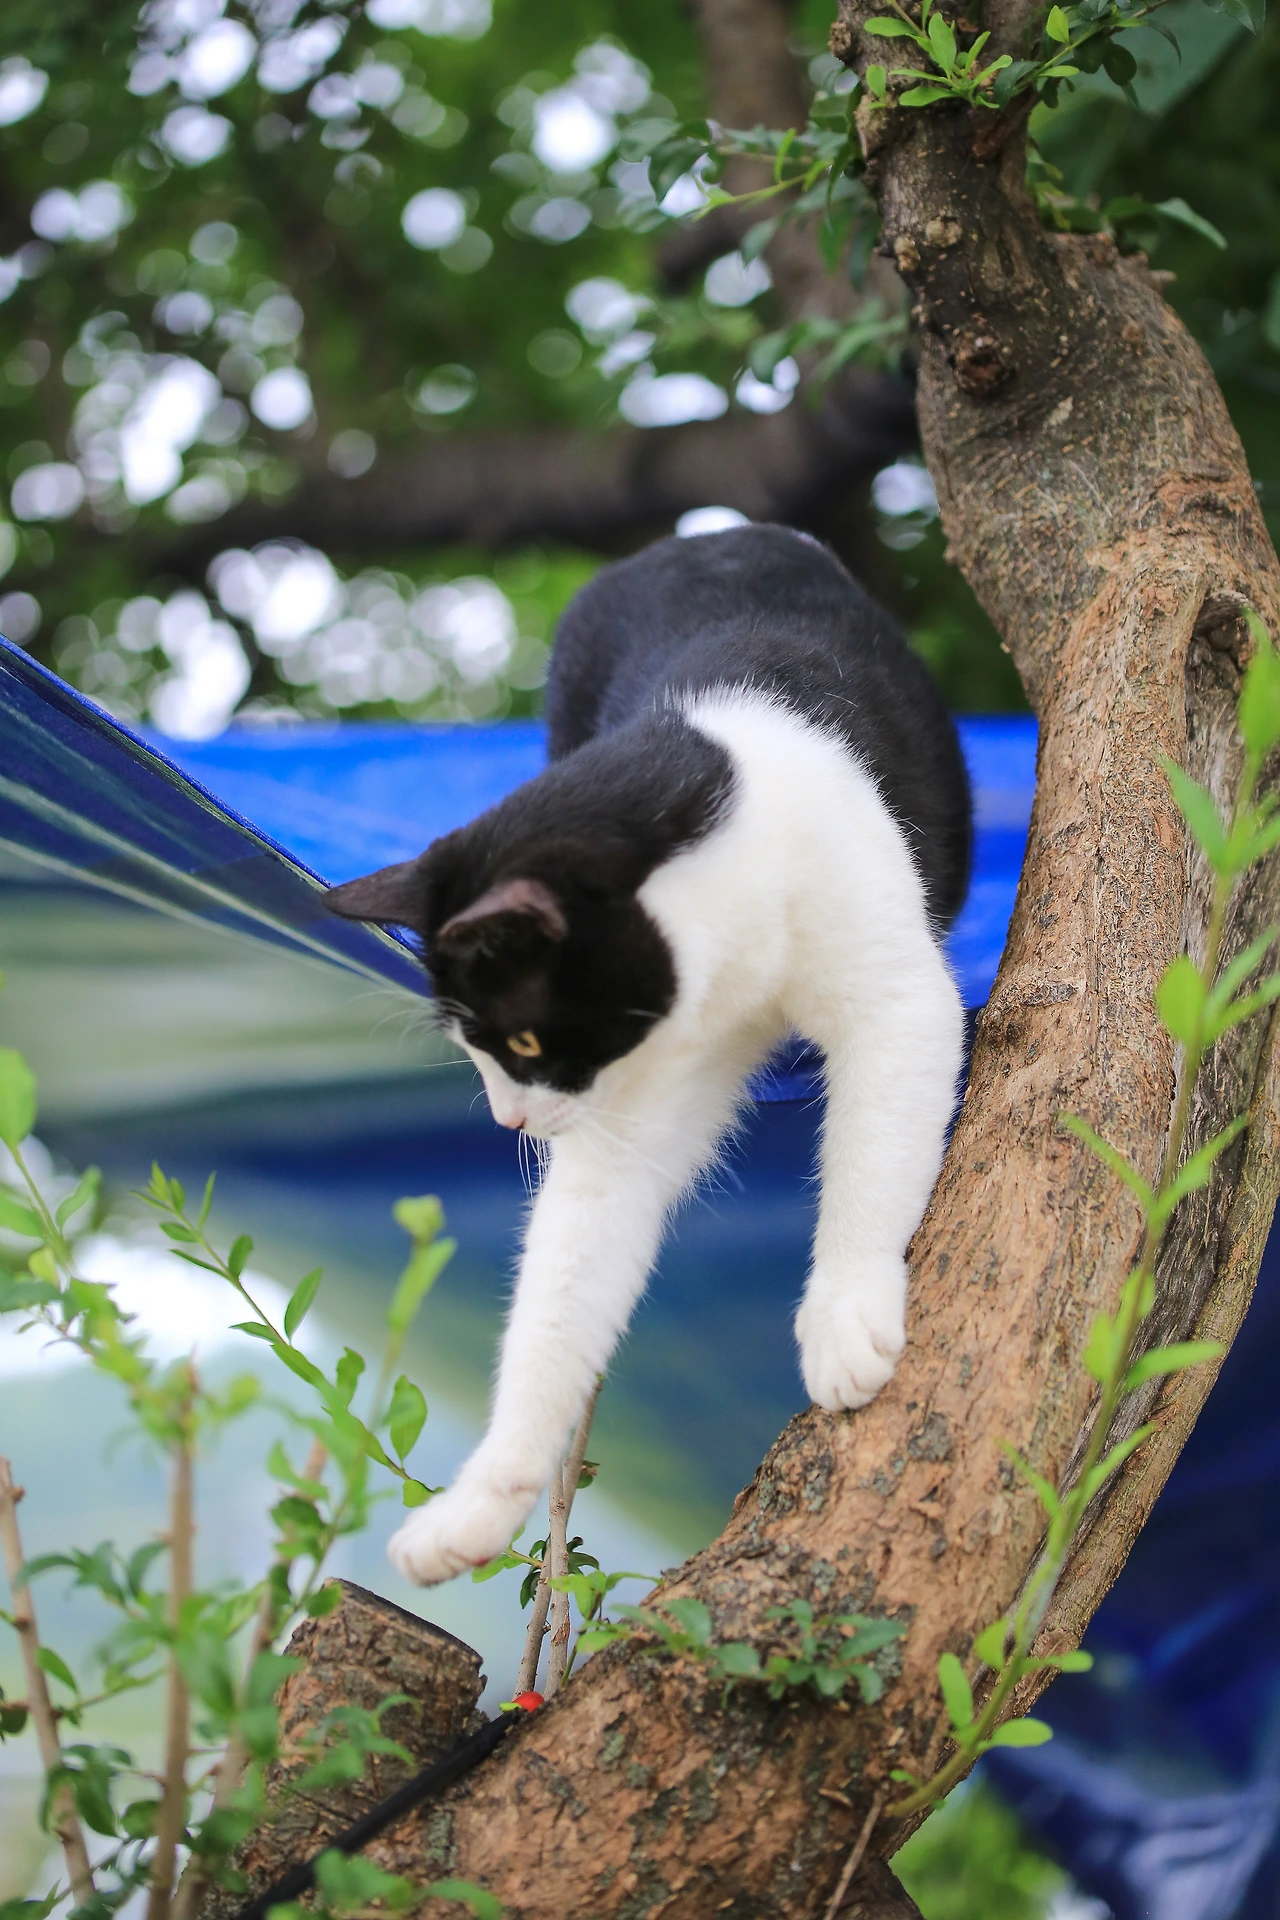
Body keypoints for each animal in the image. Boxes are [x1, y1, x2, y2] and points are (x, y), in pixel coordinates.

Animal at [326, 523, 971, 1586]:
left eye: (524, 1038)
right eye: (474, 1051)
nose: (510, 1118)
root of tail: (704, 536)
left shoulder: (893, 991)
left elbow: (875, 1144)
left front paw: (843, 1310)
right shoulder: (638, 1092)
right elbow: (569, 1268)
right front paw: (480, 1502)